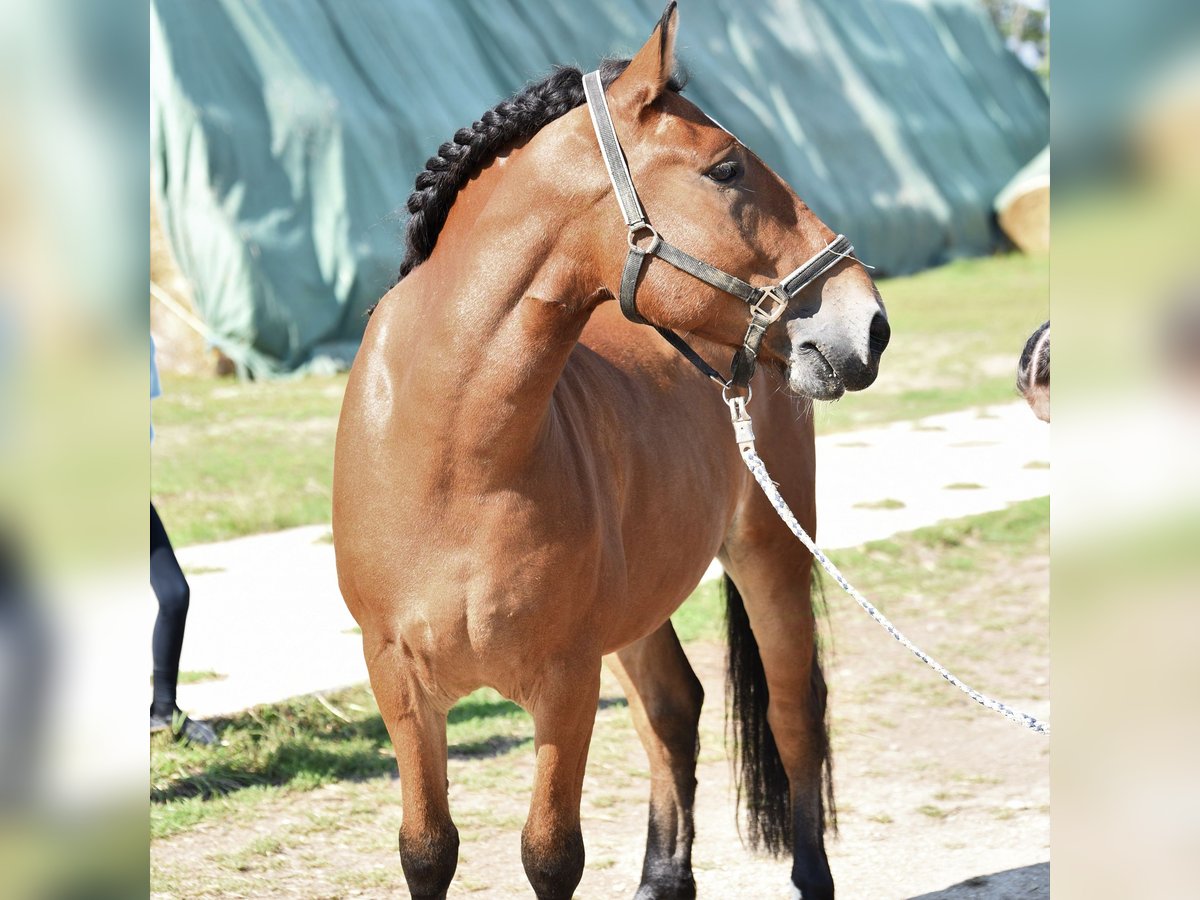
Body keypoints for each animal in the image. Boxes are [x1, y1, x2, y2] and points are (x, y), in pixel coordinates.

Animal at [333, 3, 888, 897]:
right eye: (727, 168)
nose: (867, 323)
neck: (451, 460)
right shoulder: (400, 683)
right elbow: (427, 849)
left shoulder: (564, 682)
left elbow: (551, 854)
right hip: (634, 613)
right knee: (674, 709)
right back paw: (663, 879)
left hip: (769, 556)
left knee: (792, 716)